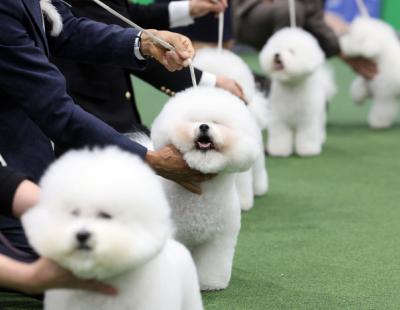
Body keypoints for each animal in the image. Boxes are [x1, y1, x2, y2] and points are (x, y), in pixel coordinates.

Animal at [150, 88, 260, 290]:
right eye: (194, 120)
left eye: (216, 122)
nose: (203, 127)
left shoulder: (218, 239)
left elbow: (212, 262)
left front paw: (211, 284)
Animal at [260, 27, 336, 156]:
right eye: (276, 47)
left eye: (291, 51)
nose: (277, 55)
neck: (292, 87)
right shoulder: (280, 118)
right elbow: (281, 136)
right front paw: (279, 150)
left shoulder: (307, 119)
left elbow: (307, 135)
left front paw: (308, 150)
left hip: (319, 114)